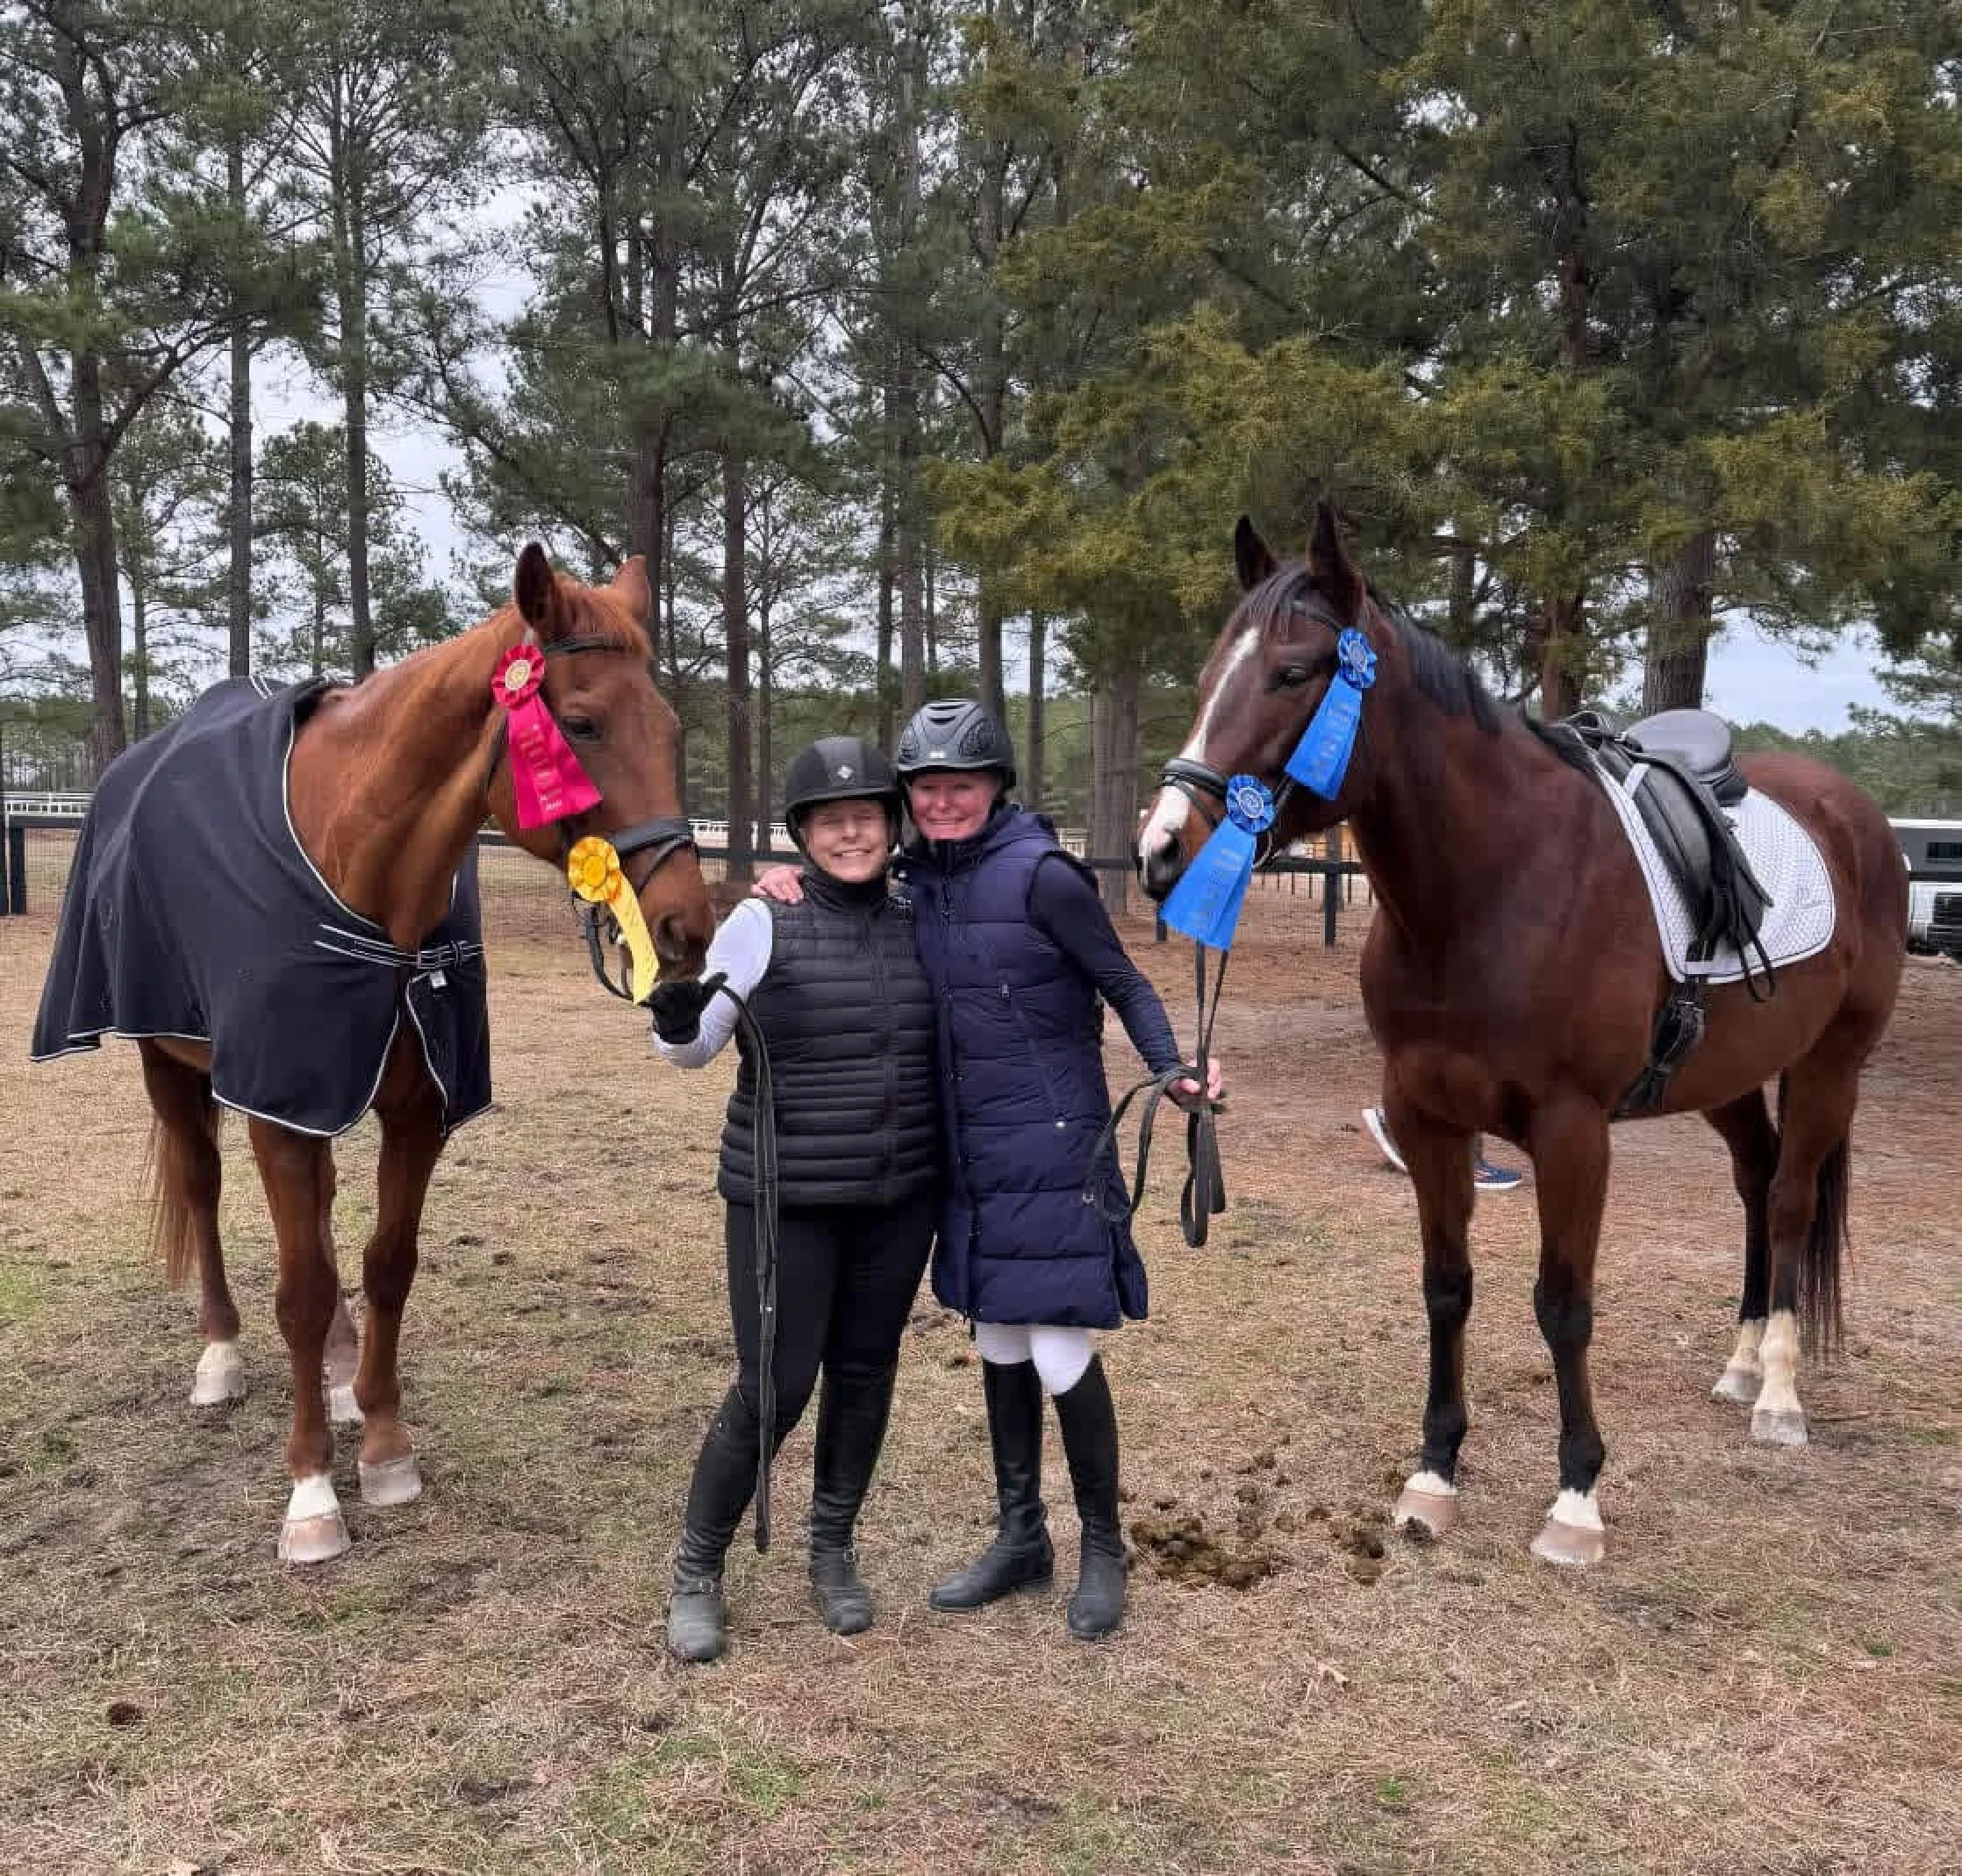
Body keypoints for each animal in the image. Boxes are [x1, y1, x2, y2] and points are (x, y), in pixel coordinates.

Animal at [32, 547, 715, 1564]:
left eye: (668, 730)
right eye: (584, 723)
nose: (684, 925)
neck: (359, 867)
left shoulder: (412, 1109)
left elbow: (387, 1262)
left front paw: (385, 1442)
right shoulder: (279, 1105)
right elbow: (301, 1289)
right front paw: (311, 1491)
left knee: (316, 1218)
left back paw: (341, 1370)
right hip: (171, 1064)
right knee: (203, 1192)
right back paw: (221, 1354)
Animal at [1137, 502, 1906, 1566]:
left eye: (1294, 673)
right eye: (1213, 672)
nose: (1163, 849)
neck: (1496, 885)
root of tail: (1855, 813)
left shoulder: (1571, 1131)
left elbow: (1562, 1304)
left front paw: (1576, 1499)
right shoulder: (1425, 1116)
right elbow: (1446, 1285)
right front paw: (1433, 1475)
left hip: (1834, 1062)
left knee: (1790, 1201)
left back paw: (1780, 1397)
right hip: (1729, 1075)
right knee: (1756, 1181)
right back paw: (1744, 1362)